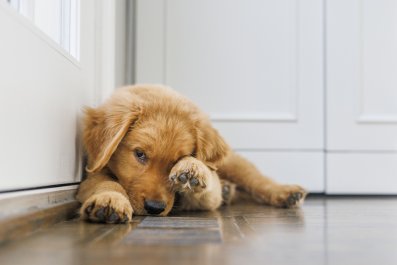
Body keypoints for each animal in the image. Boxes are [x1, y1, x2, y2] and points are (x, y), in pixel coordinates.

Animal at [76, 84, 306, 223]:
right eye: (140, 154)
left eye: (178, 159)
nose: (155, 208)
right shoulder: (94, 172)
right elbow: (106, 182)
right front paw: (109, 199)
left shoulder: (207, 198)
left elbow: (207, 182)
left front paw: (193, 168)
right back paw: (228, 190)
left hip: (234, 164)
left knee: (257, 179)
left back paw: (286, 192)